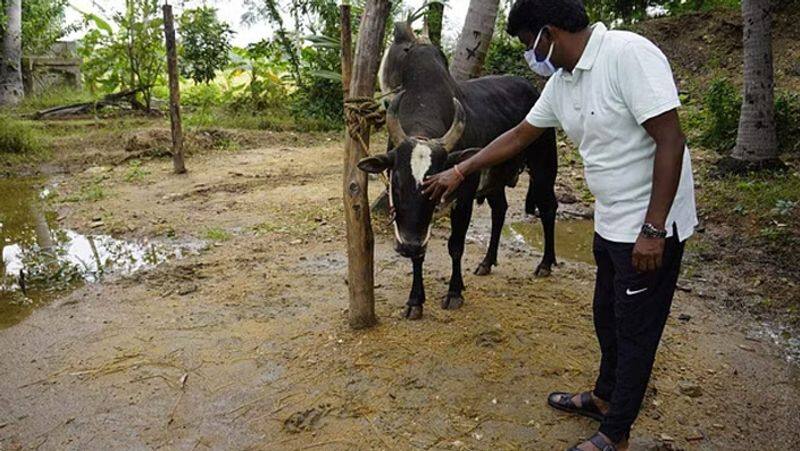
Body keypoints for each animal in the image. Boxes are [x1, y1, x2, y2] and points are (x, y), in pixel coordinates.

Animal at [360, 23, 560, 322]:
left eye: (435, 186)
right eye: (396, 181)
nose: (407, 247)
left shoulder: (463, 195)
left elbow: (455, 245)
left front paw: (454, 292)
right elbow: (421, 254)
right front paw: (415, 300)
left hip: (544, 165)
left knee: (548, 208)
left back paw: (546, 263)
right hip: (496, 179)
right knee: (500, 210)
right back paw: (487, 262)